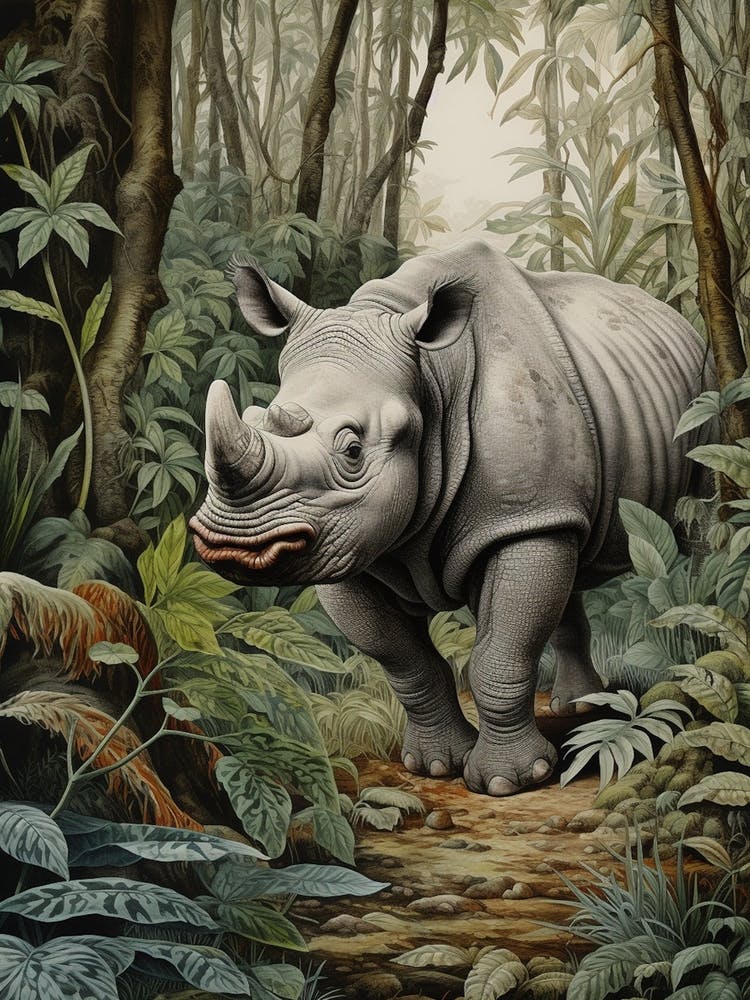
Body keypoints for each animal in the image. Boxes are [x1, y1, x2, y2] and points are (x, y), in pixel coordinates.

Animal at [190, 239, 712, 796]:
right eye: (256, 417)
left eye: (353, 450)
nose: (235, 544)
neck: (431, 379)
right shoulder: (343, 539)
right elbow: (405, 662)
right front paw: (435, 766)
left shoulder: (517, 515)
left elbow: (499, 653)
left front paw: (510, 782)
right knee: (565, 555)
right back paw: (578, 706)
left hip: (701, 396)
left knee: (699, 533)